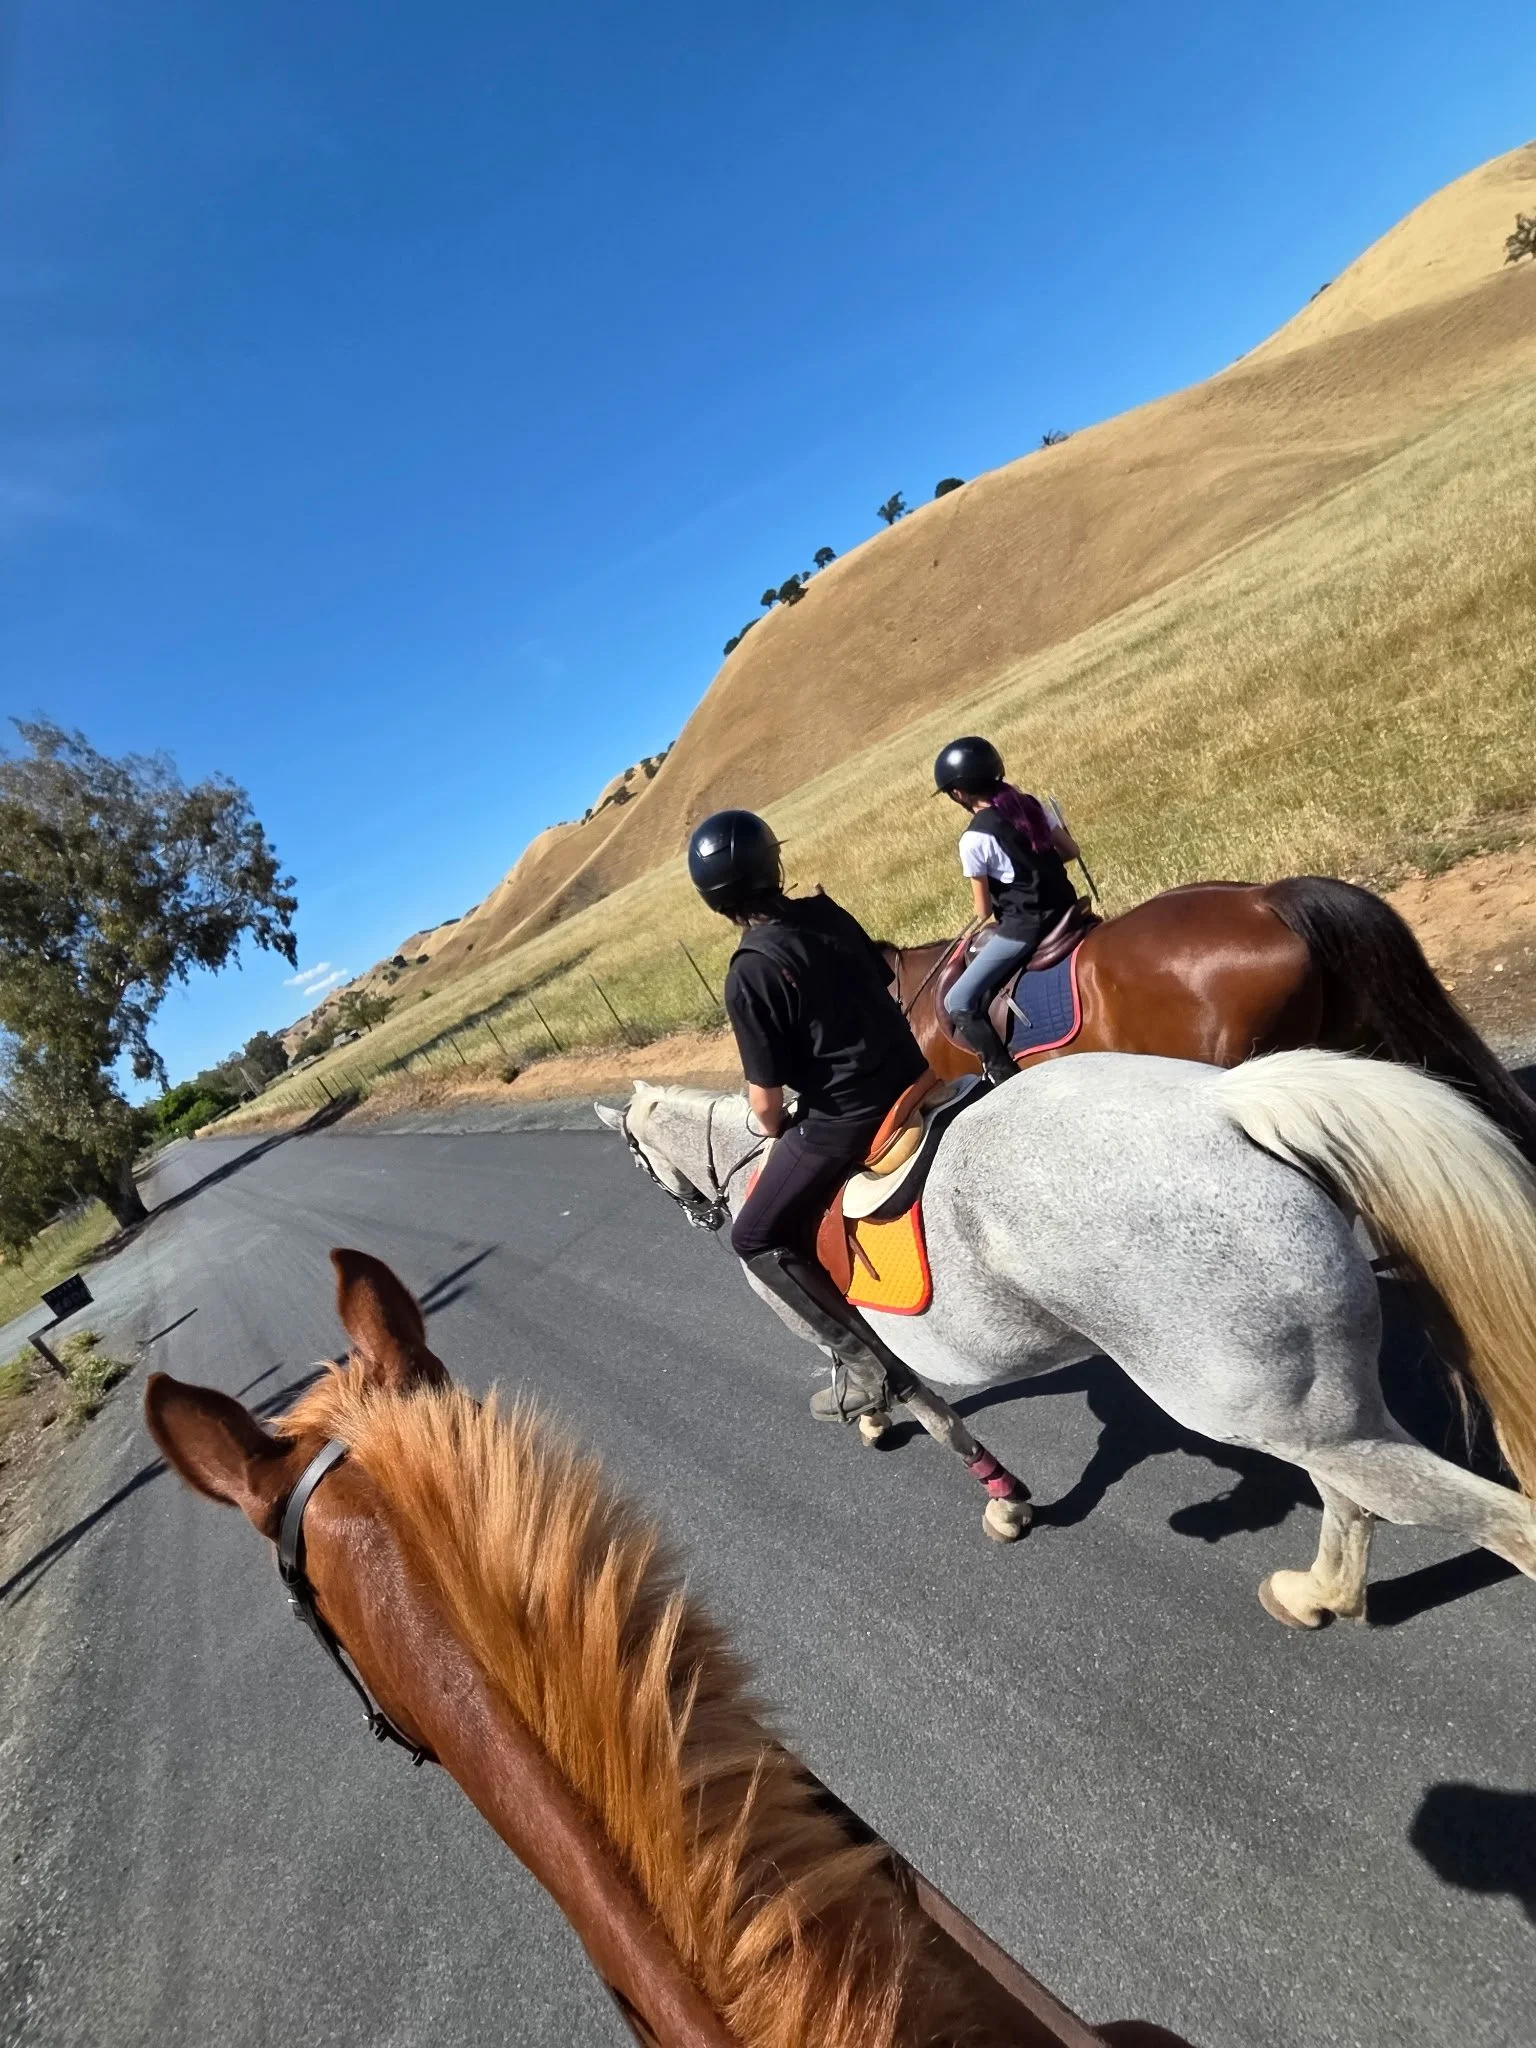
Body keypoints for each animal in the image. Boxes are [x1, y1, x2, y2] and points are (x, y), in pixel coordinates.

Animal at [595, 1050, 1536, 1628]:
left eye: (636, 1157)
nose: (695, 1211)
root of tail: (1222, 1103)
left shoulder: (817, 1308)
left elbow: (918, 1402)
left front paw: (980, 1485)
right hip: (1315, 1413)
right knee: (1349, 1496)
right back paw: (1317, 1595)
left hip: (1289, 1415)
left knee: (1465, 1513)